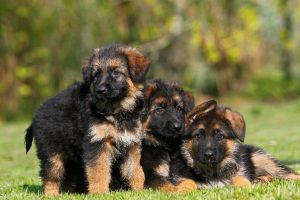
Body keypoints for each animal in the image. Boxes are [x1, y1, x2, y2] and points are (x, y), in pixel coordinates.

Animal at [24, 44, 150, 195]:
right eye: (96, 74)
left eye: (116, 72)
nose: (100, 90)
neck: (117, 112)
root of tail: (36, 114)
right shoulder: (96, 143)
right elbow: (98, 171)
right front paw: (99, 193)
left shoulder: (131, 144)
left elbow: (135, 171)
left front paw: (140, 191)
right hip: (52, 153)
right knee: (50, 176)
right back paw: (51, 195)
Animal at [171, 101, 300, 188]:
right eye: (198, 136)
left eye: (220, 136)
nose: (208, 155)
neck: (213, 171)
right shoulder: (180, 177)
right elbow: (188, 182)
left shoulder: (240, 173)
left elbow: (239, 179)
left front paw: (246, 186)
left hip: (263, 160)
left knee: (290, 175)